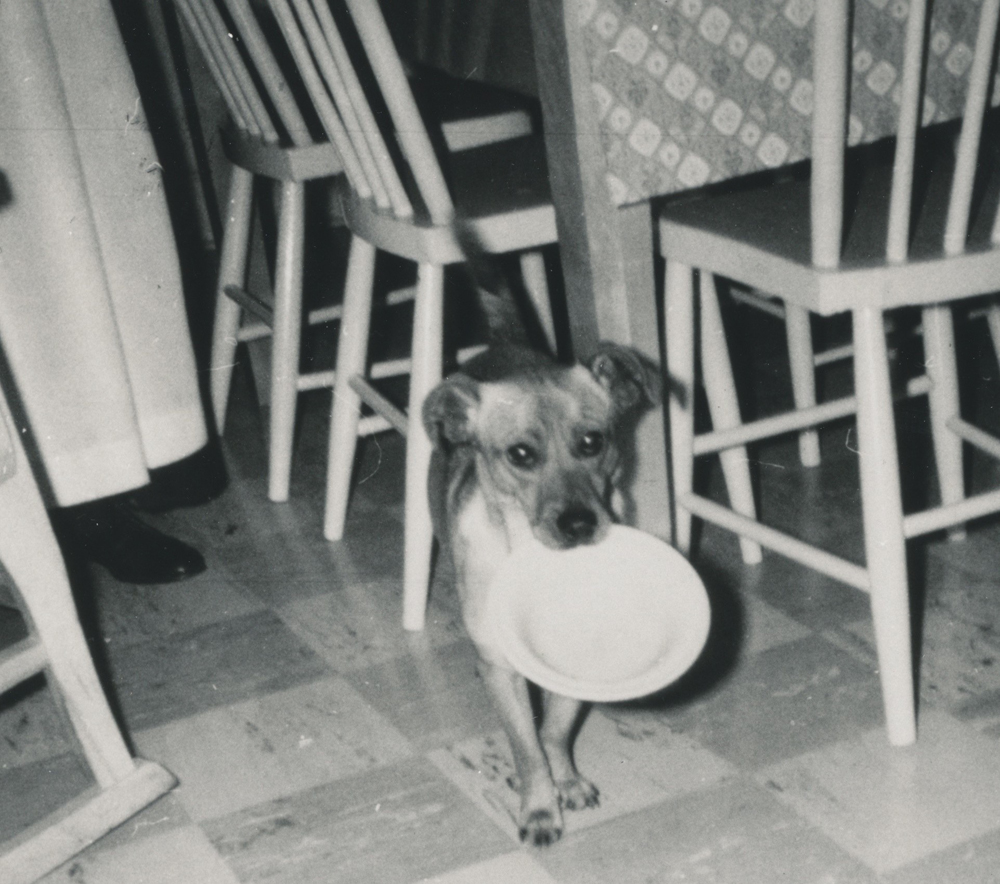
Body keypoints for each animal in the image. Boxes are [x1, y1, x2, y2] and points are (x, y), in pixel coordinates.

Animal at [424, 233, 664, 844]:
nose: (578, 525)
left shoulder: (573, 659)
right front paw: (538, 806)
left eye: (592, 441)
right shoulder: (504, 669)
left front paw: (567, 782)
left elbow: (554, 729)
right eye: (521, 454)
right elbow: (526, 746)